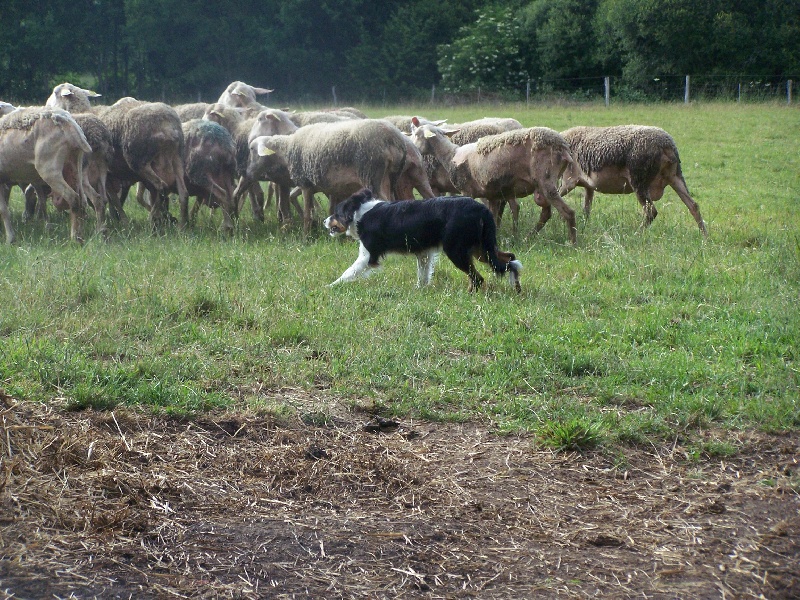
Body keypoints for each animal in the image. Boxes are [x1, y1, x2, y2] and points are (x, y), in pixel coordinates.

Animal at [0, 107, 92, 243]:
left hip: (49, 168)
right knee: (82, 200)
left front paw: (10, 239)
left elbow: (4, 210)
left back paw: (75, 238)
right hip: (75, 164)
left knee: (73, 198)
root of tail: (69, 122)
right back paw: (80, 234)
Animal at [244, 119, 409, 234]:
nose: (246, 173)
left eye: (251, 149)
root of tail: (394, 138)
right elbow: (330, 210)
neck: (287, 150)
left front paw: (306, 237)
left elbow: (307, 215)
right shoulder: (330, 187)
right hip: (391, 178)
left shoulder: (305, 184)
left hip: (372, 175)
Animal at [323, 189, 522, 292]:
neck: (361, 213)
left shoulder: (367, 256)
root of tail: (482, 208)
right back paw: (516, 288)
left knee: (478, 278)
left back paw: (470, 295)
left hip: (457, 250)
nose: (325, 221)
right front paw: (420, 290)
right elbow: (423, 274)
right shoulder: (424, 253)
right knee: (510, 259)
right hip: (480, 248)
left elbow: (348, 273)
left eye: (336, 214)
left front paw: (331, 286)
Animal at [409, 118, 579, 244]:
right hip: (543, 185)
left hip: (546, 179)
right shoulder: (493, 195)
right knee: (546, 213)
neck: (451, 154)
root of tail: (564, 147)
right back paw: (527, 237)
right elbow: (493, 217)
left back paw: (572, 242)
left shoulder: (467, 191)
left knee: (568, 212)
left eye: (416, 134)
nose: (410, 145)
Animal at [559, 125, 708, 236]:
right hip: (675, 176)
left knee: (651, 212)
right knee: (693, 205)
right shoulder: (589, 186)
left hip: (639, 181)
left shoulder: (568, 181)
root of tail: (667, 145)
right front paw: (585, 226)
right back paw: (705, 238)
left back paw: (636, 234)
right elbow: (586, 209)